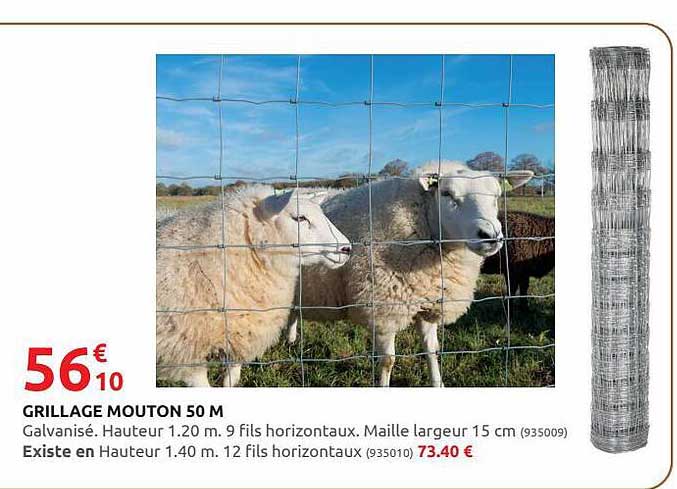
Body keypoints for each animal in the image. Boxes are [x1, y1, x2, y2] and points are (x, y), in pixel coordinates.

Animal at [287, 161, 533, 387]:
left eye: (497, 196)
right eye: (447, 194)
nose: (490, 236)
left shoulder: (429, 303)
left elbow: (432, 350)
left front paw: (438, 383)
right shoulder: (384, 309)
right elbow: (388, 361)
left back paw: (290, 340)